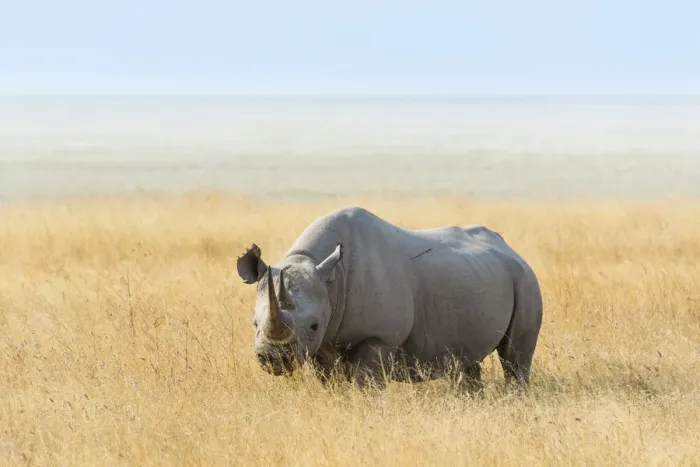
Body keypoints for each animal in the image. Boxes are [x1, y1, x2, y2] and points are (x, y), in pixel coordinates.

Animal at [236, 206, 543, 388]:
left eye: (313, 325)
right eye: (254, 324)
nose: (272, 359)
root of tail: (511, 249)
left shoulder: (379, 337)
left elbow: (366, 382)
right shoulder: (324, 341)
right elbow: (331, 381)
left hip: (525, 279)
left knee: (514, 357)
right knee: (467, 361)